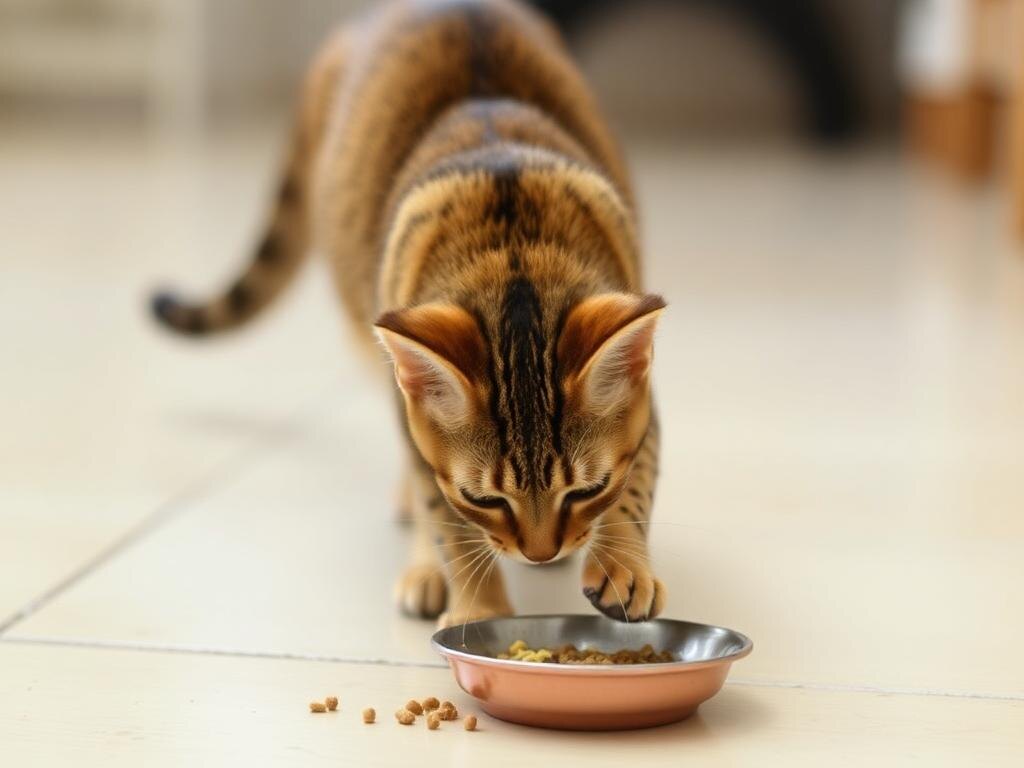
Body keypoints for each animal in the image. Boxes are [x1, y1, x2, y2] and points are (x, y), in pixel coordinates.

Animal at [151, 0, 665, 627]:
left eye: (587, 491)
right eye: (484, 499)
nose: (540, 555)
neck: (514, 238)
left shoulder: (646, 403)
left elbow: (638, 482)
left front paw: (622, 564)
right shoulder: (420, 432)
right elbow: (445, 518)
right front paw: (478, 609)